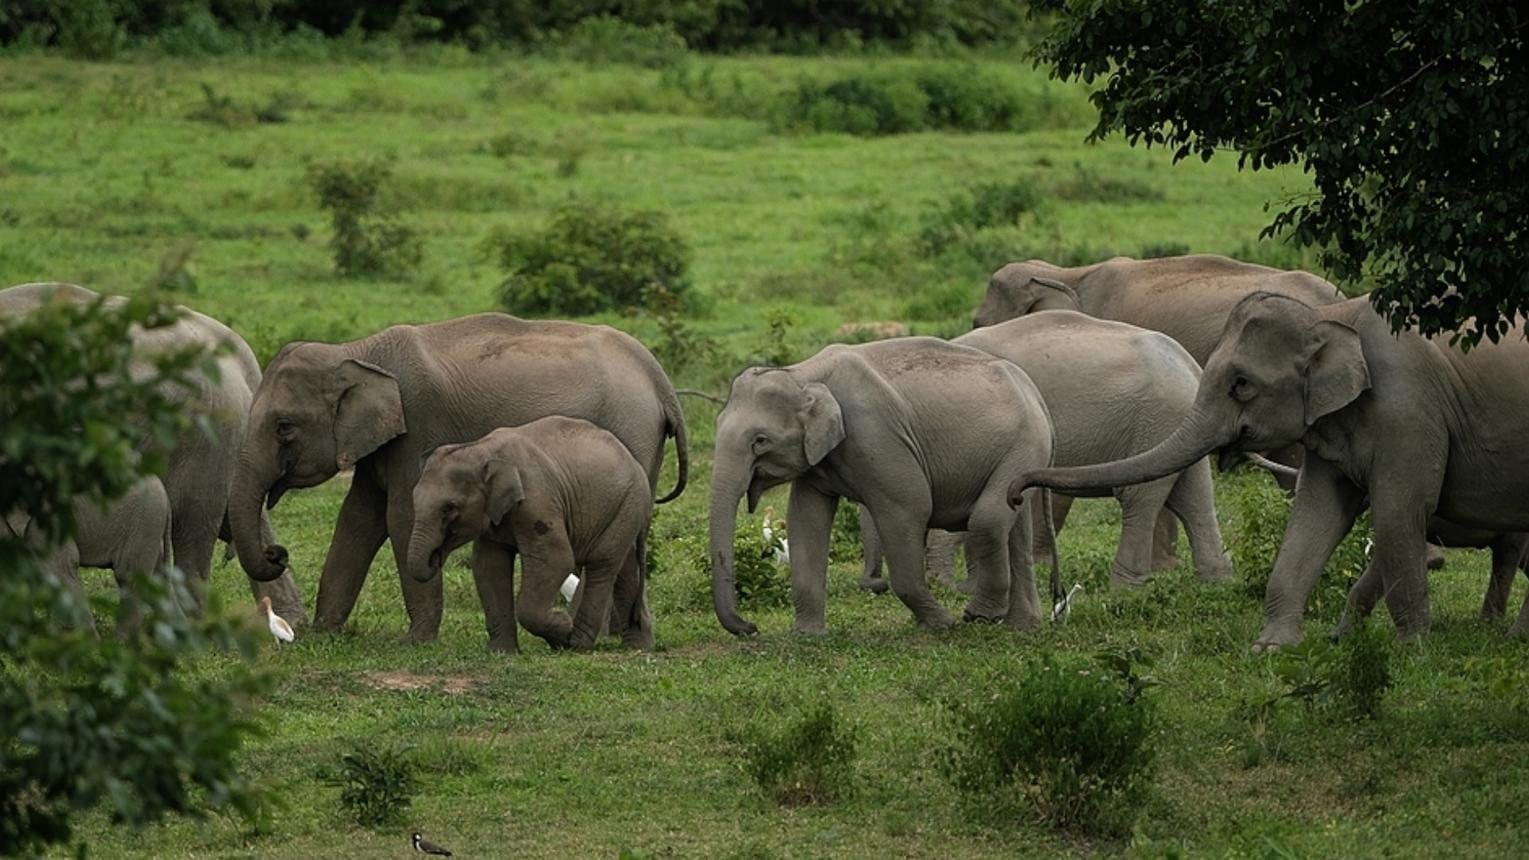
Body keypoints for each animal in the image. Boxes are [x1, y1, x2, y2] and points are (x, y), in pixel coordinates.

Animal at [6, 476, 173, 636]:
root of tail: (166, 496)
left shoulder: (49, 521)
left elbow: (61, 569)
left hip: (144, 522)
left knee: (127, 577)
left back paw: (119, 642)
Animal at [406, 417, 652, 651]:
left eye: (449, 508)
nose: (435, 557)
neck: (481, 449)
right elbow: (489, 565)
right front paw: (501, 651)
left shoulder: (537, 500)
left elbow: (556, 560)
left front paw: (562, 629)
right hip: (624, 510)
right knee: (626, 569)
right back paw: (638, 646)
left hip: (626, 504)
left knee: (602, 565)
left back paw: (578, 643)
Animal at [710, 337, 1055, 636]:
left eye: (760, 441)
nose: (751, 627)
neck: (803, 373)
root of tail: (1036, 394)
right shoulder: (818, 459)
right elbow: (805, 520)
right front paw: (807, 635)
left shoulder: (877, 435)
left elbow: (909, 509)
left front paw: (941, 624)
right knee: (1015, 526)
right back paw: (1022, 625)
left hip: (1024, 443)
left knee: (988, 520)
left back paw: (979, 615)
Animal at [860, 310, 1234, 592]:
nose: (875, 586)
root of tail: (1190, 365)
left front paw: (950, 587)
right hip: (1172, 421)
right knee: (1193, 495)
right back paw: (1215, 582)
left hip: (1155, 419)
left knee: (1139, 497)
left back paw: (1125, 590)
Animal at [1009, 291, 1529, 649]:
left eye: (1241, 384)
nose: (1016, 490)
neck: (1333, 316)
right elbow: (1316, 514)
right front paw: (1274, 647)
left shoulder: (1408, 408)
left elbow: (1402, 511)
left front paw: (1409, 649)